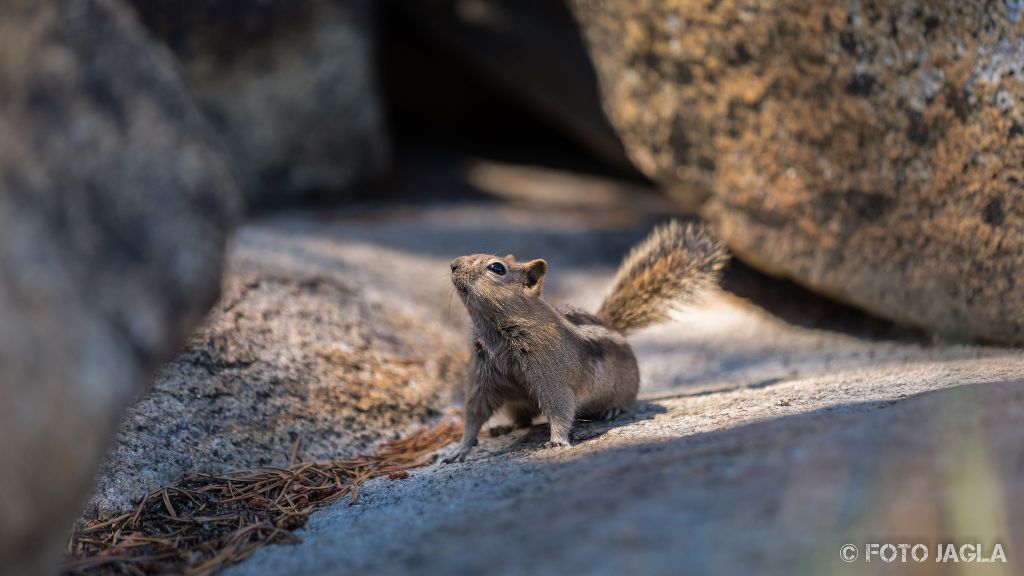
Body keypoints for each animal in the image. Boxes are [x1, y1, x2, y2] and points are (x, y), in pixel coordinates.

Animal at [444, 220, 727, 462]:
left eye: (496, 268)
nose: (453, 264)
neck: (496, 330)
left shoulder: (552, 378)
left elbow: (560, 408)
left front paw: (557, 441)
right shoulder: (483, 377)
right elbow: (474, 413)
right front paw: (460, 449)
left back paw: (611, 410)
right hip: (515, 403)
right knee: (521, 419)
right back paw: (503, 427)